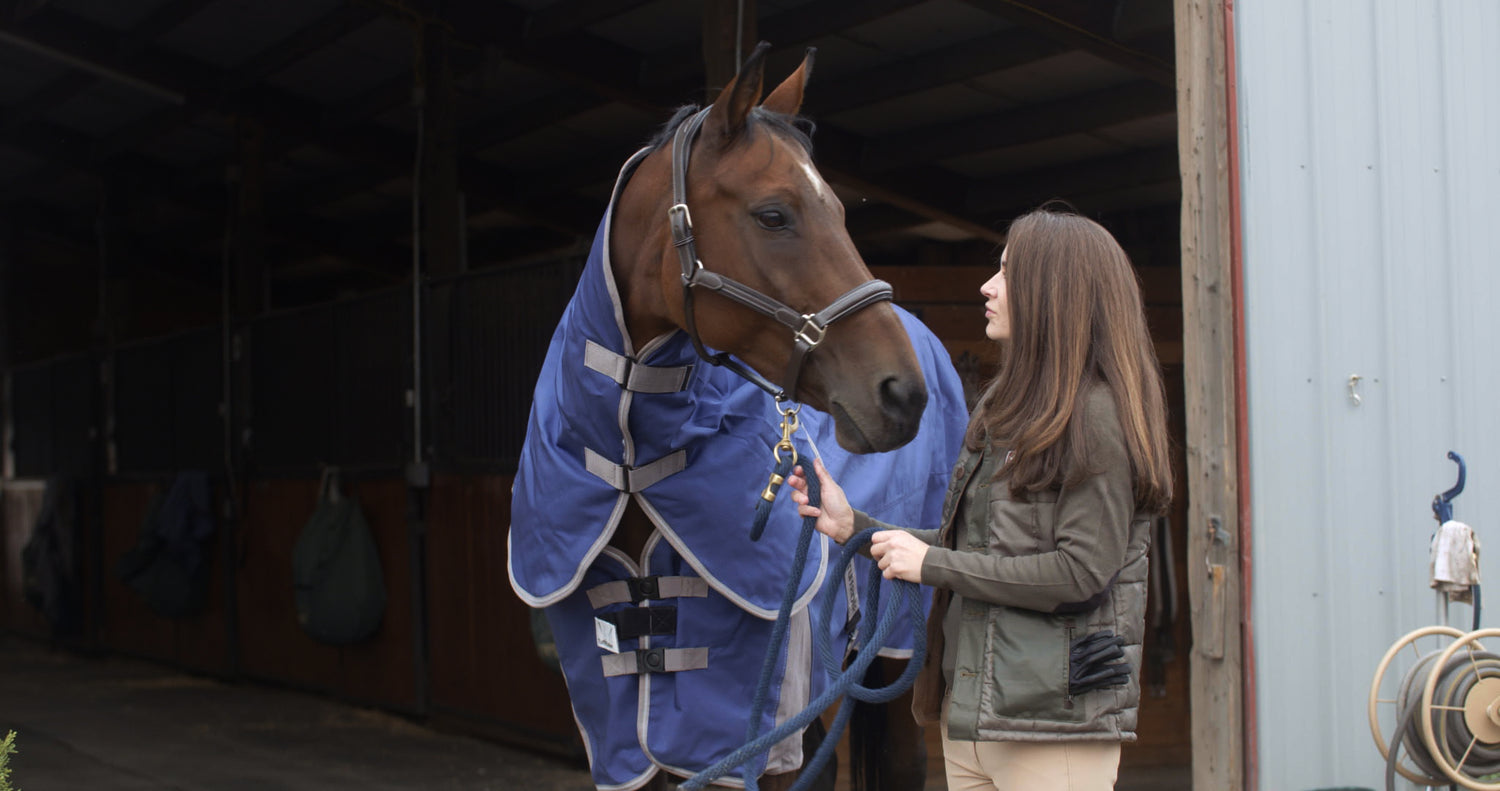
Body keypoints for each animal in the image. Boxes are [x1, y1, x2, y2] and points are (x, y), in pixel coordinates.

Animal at [510, 44, 966, 791]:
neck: (634, 459)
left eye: (838, 209)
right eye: (774, 215)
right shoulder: (622, 744)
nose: (902, 394)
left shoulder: (746, 741)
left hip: (889, 650)